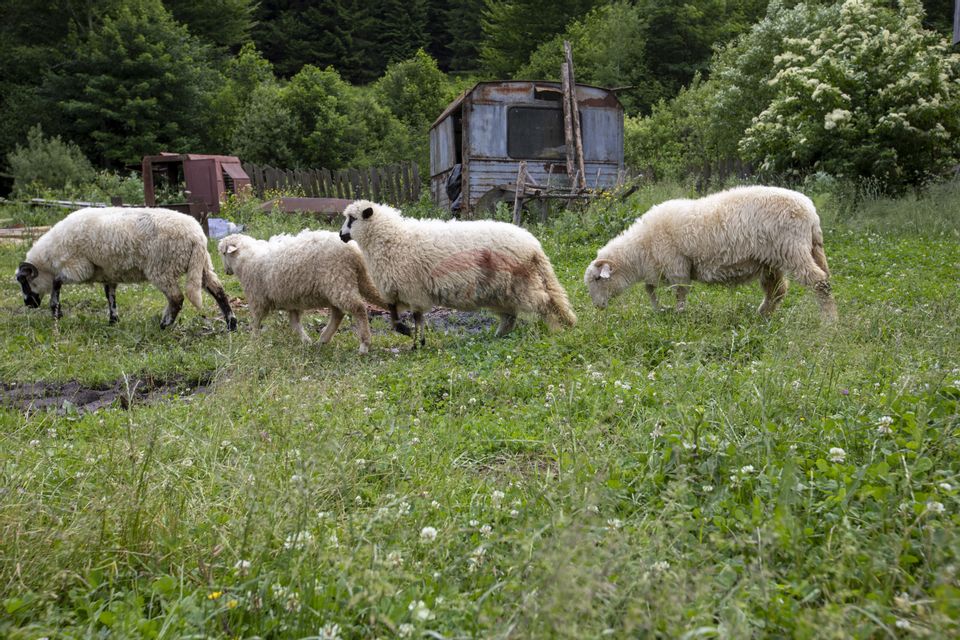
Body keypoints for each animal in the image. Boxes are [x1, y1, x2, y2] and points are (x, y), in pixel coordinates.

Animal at [15, 208, 236, 330]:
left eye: (23, 280)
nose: (28, 304)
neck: (50, 256)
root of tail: (197, 235)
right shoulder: (108, 273)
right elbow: (110, 296)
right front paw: (113, 320)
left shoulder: (78, 267)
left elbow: (57, 282)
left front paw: (55, 311)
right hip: (202, 264)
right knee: (218, 290)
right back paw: (231, 324)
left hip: (161, 268)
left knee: (176, 298)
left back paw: (164, 325)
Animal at [219, 230, 388, 352]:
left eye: (223, 253)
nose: (226, 271)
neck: (245, 258)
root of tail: (355, 252)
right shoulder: (290, 301)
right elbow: (294, 324)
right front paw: (306, 341)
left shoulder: (257, 299)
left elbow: (256, 321)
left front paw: (253, 341)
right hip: (342, 283)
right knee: (340, 313)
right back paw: (323, 340)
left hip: (338, 279)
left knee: (358, 308)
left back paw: (364, 344)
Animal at [340, 201, 576, 348]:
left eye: (352, 219)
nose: (341, 235)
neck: (392, 238)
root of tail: (534, 245)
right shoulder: (399, 291)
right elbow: (398, 317)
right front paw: (413, 337)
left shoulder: (412, 289)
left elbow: (414, 318)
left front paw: (415, 341)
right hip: (501, 292)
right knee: (511, 315)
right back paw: (498, 336)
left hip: (520, 283)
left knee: (544, 302)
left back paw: (556, 329)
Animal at [580, 186, 836, 322]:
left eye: (597, 279)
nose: (597, 307)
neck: (641, 248)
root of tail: (811, 213)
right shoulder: (657, 268)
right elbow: (649, 289)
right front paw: (659, 309)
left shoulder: (677, 265)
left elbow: (680, 292)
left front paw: (678, 314)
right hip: (774, 259)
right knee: (777, 290)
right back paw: (762, 316)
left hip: (793, 250)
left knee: (819, 282)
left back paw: (829, 322)